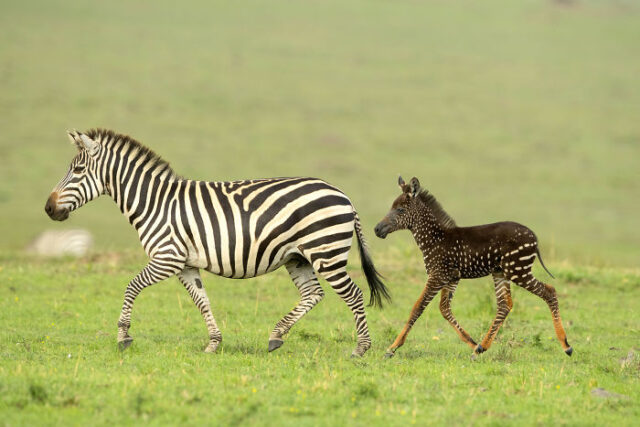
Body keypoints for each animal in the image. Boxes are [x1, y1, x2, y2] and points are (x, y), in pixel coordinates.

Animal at [44, 128, 390, 356]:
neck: (153, 203)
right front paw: (213, 343)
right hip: (298, 257)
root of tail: (343, 195)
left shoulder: (167, 258)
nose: (48, 209)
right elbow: (202, 301)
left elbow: (131, 286)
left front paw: (123, 336)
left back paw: (361, 348)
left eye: (77, 170)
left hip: (326, 252)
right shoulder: (185, 264)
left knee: (354, 294)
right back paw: (276, 336)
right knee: (313, 294)